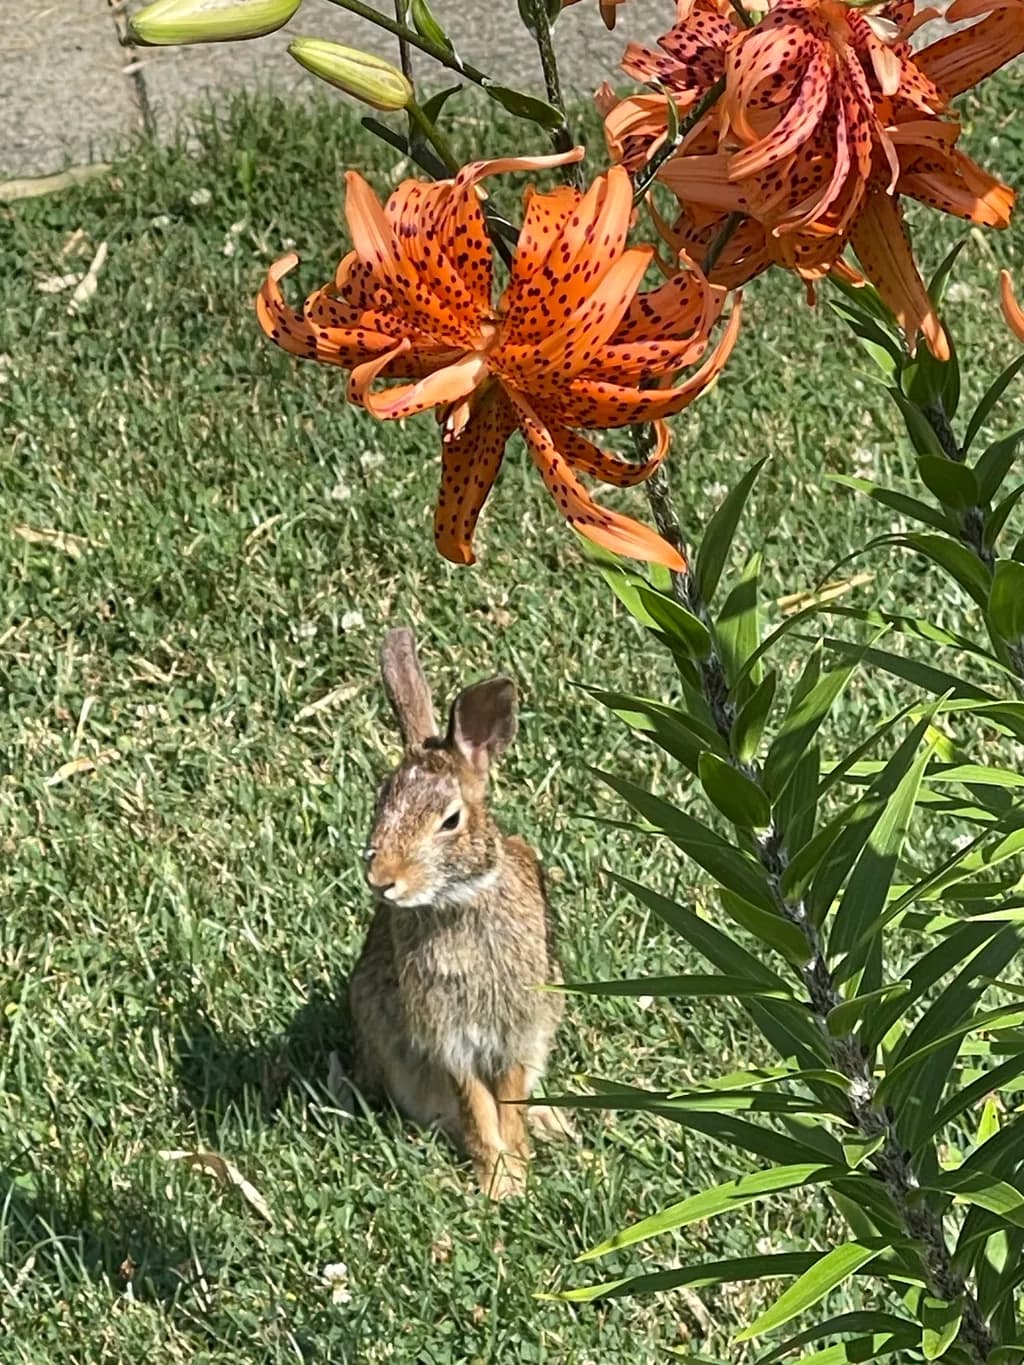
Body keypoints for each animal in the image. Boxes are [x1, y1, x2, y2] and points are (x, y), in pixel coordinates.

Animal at [348, 627, 570, 1199]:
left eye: (449, 821)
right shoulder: (446, 1038)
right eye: (381, 803)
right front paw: (500, 1181)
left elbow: (507, 1096)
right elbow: (474, 1104)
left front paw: (515, 1169)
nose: (383, 880)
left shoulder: (516, 1028)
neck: (458, 900)